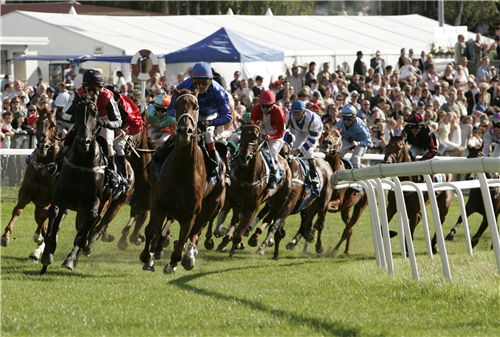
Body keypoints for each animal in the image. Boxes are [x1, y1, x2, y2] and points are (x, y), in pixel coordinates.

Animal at [1, 106, 59, 258]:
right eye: (37, 122)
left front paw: (37, 236)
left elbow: (45, 214)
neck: (44, 168)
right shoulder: (26, 192)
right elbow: (18, 209)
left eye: (53, 124)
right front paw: (5, 236)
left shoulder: (52, 199)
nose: (43, 146)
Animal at [139, 87, 225, 272]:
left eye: (196, 106)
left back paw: (189, 256)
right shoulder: (158, 201)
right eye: (177, 106)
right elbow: (151, 230)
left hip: (212, 206)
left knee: (196, 232)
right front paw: (147, 257)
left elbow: (185, 237)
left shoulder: (192, 212)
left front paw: (174, 262)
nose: (185, 130)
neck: (182, 171)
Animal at [217, 123, 294, 258]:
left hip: (280, 201)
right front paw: (232, 242)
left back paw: (255, 238)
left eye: (256, 137)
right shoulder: (237, 203)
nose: (244, 157)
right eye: (242, 135)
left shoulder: (253, 207)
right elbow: (236, 223)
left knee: (269, 219)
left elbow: (240, 230)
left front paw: (236, 244)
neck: (246, 177)